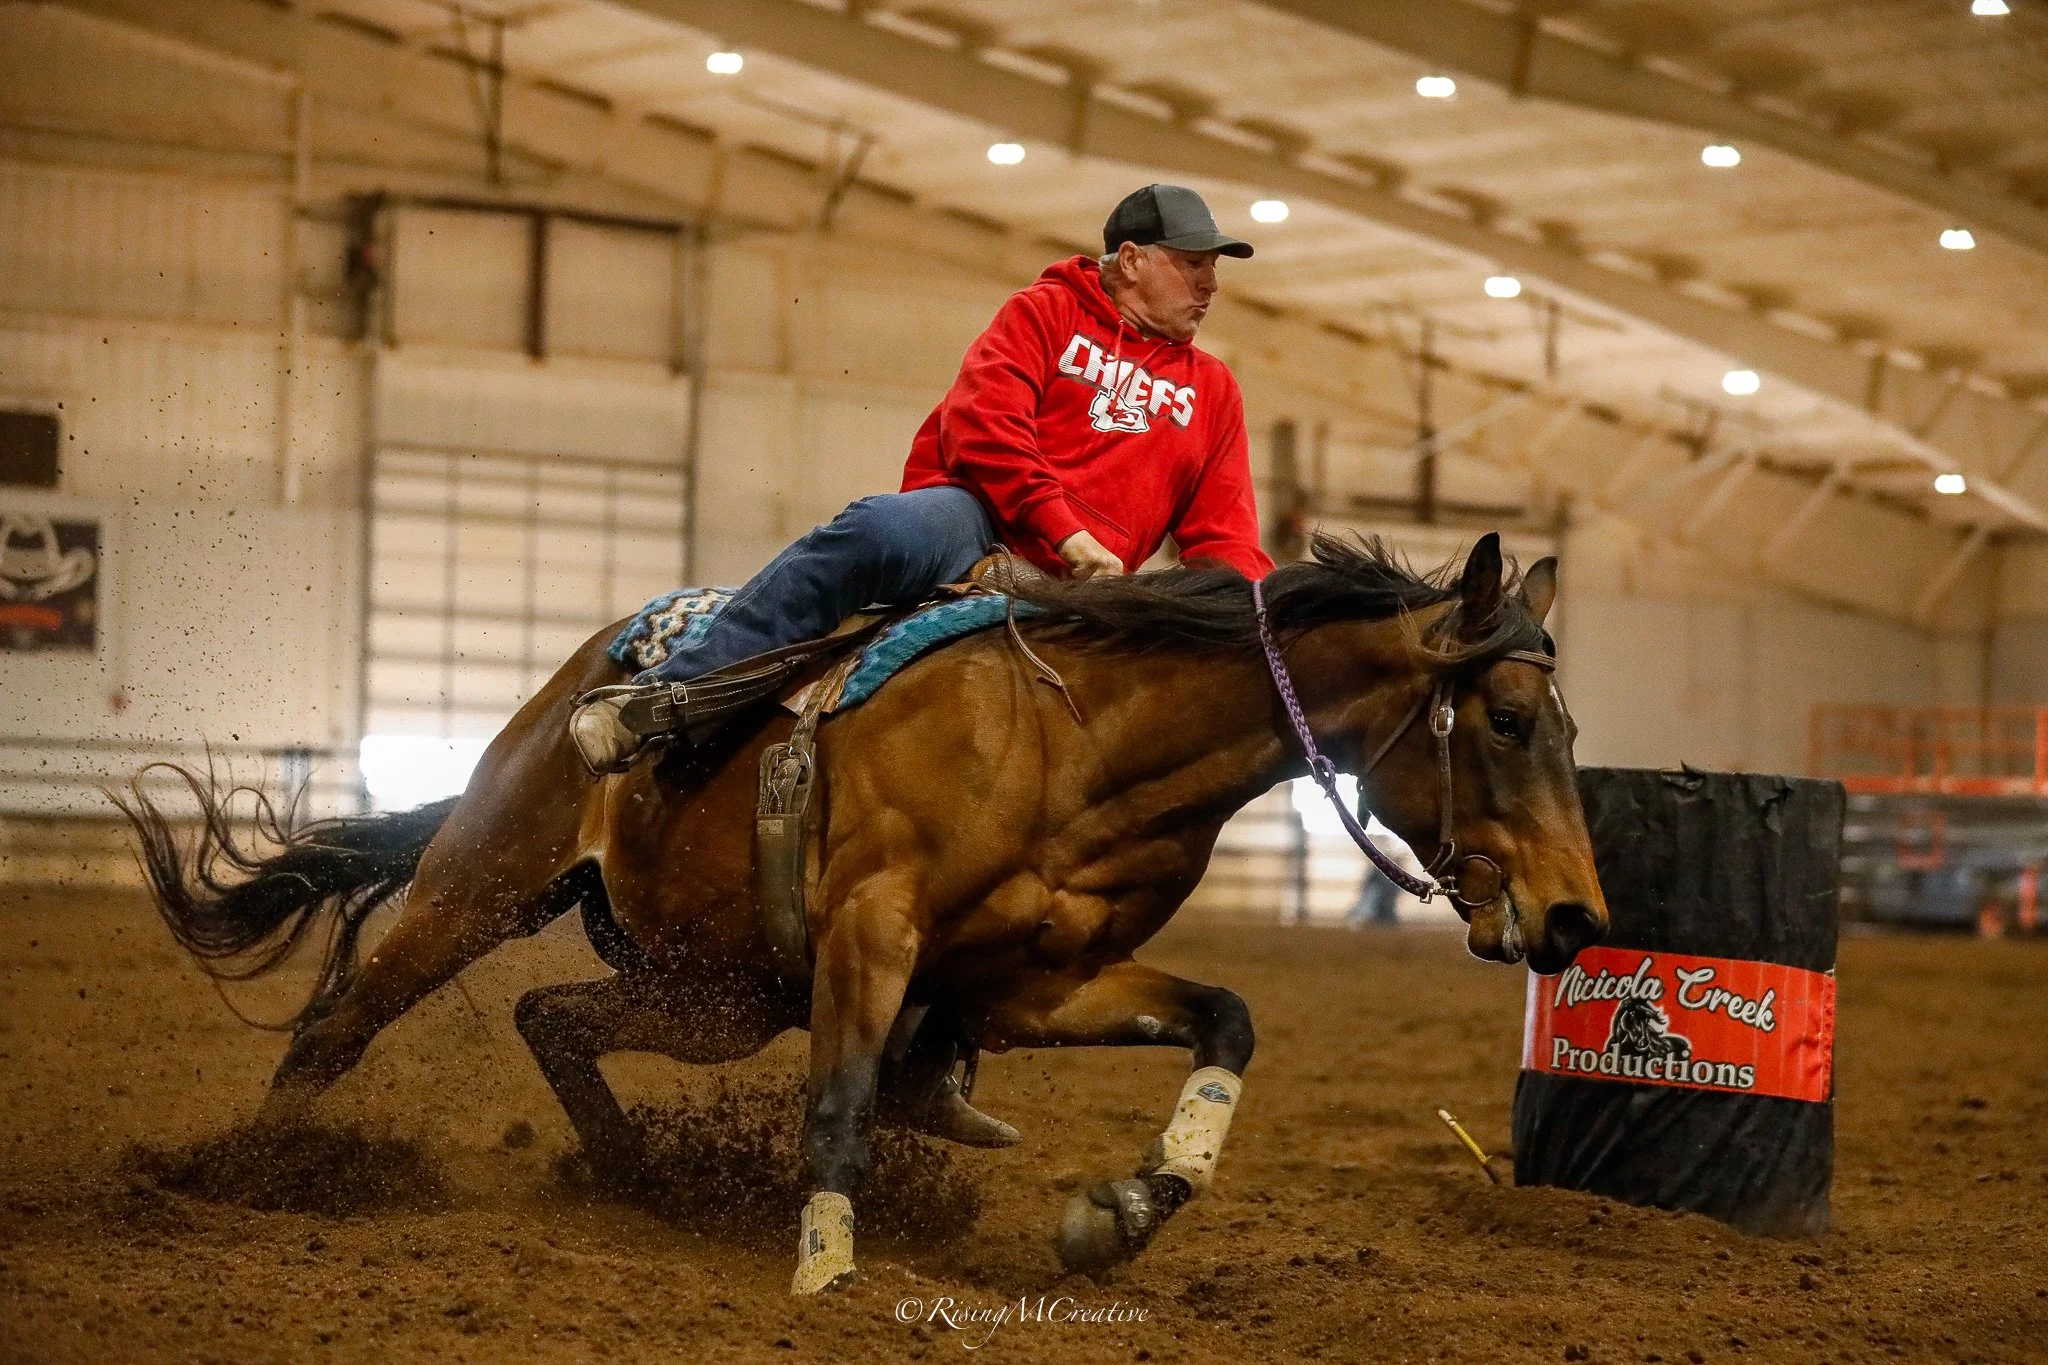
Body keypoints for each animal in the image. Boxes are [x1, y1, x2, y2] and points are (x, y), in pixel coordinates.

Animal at [117, 531, 1606, 1293]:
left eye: (1569, 725)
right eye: (1509, 718)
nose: (1576, 921)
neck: (1079, 740)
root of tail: (582, 675)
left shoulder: (1034, 980)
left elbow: (1226, 1020)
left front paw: (1129, 1205)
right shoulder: (870, 936)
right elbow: (835, 1102)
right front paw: (827, 1269)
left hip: (711, 991)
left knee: (554, 1015)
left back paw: (641, 1178)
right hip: (485, 880)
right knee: (342, 1023)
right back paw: (244, 1177)